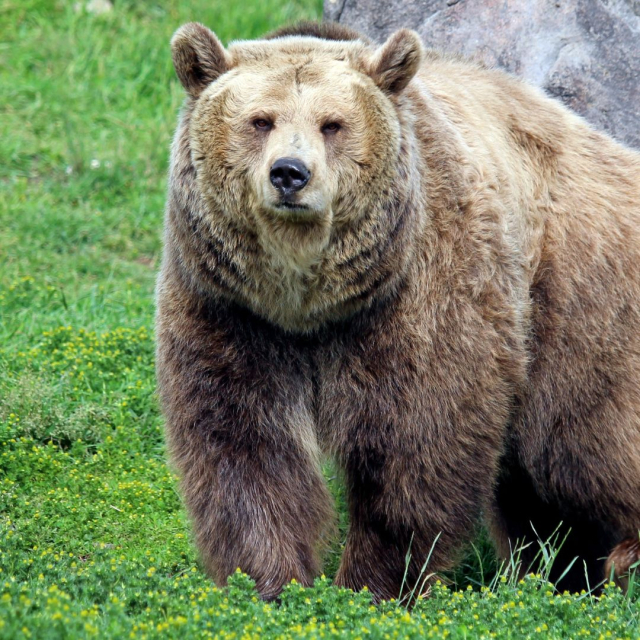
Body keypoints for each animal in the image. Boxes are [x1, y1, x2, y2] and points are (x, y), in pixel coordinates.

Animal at [155, 20, 640, 601]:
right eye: (260, 120)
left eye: (333, 124)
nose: (290, 173)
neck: (307, 304)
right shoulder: (229, 310)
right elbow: (244, 445)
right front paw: (271, 583)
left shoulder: (419, 293)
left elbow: (416, 441)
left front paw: (374, 584)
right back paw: (559, 572)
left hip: (575, 294)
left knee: (584, 444)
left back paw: (621, 558)